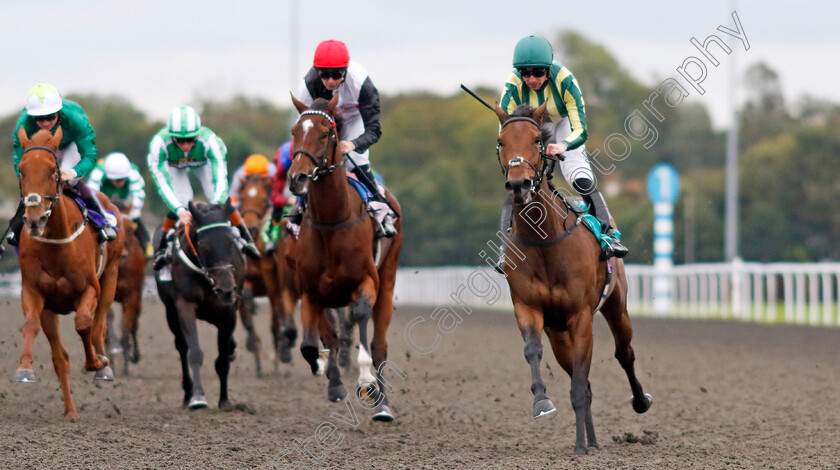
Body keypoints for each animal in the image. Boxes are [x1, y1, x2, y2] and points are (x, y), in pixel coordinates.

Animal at [13, 126, 124, 420]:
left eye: (53, 170)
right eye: (21, 170)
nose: (35, 219)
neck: (57, 245)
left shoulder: (90, 288)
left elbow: (84, 324)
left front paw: (95, 363)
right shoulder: (34, 292)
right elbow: (31, 325)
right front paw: (24, 369)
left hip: (111, 277)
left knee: (99, 326)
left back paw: (103, 365)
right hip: (52, 311)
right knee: (59, 358)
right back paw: (70, 412)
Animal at [154, 198, 243, 408]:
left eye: (230, 241)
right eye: (203, 244)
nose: (226, 290)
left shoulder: (228, 312)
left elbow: (222, 359)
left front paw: (224, 400)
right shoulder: (185, 306)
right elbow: (194, 353)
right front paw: (198, 397)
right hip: (171, 314)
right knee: (182, 347)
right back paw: (187, 393)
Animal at [236, 173, 298, 374]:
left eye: (264, 199)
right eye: (243, 198)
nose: (250, 227)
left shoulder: (272, 278)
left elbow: (277, 315)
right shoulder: (246, 279)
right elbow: (247, 302)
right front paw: (252, 343)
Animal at [288, 93, 404, 420]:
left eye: (325, 134)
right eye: (295, 132)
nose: (297, 178)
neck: (331, 222)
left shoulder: (366, 282)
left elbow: (362, 320)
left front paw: (366, 381)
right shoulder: (310, 292)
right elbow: (313, 345)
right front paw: (331, 379)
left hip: (387, 282)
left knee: (379, 345)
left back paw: (383, 405)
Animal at [496, 103, 652, 456]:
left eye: (538, 140)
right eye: (501, 142)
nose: (519, 184)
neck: (544, 243)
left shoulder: (580, 316)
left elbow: (582, 382)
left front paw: (580, 446)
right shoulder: (528, 308)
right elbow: (533, 352)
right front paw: (542, 402)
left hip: (616, 308)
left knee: (624, 354)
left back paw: (638, 402)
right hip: (558, 334)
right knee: (584, 379)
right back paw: (591, 439)